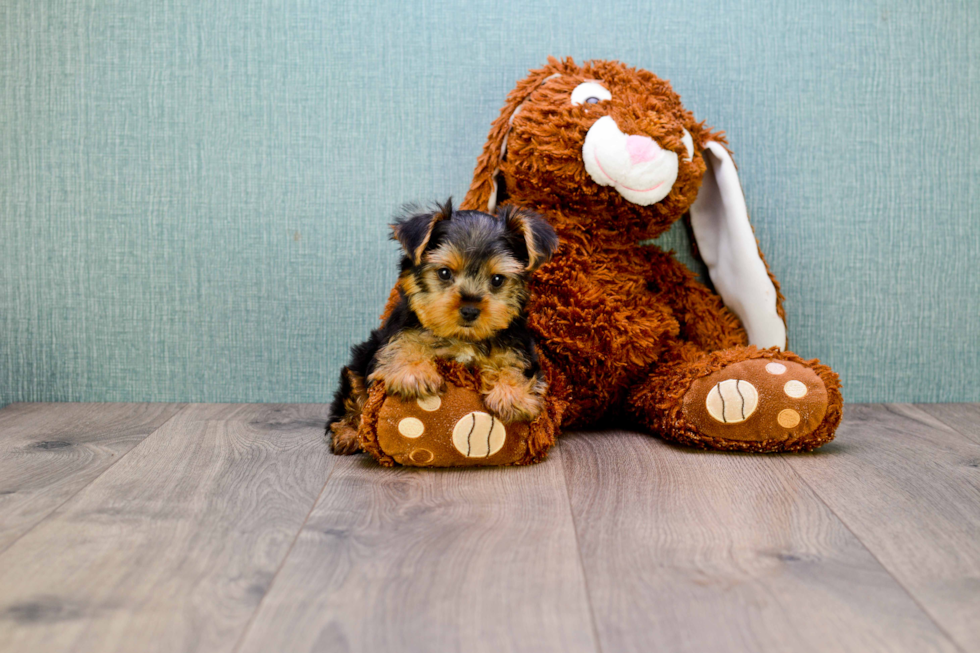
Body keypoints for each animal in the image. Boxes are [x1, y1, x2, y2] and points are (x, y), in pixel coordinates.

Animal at [326, 199, 560, 454]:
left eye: (497, 279)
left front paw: (511, 394)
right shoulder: (398, 330)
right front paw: (414, 373)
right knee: (352, 395)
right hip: (359, 361)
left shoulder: (518, 344)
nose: (470, 310)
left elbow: (515, 364)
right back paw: (349, 434)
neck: (462, 338)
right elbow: (405, 341)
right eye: (444, 273)